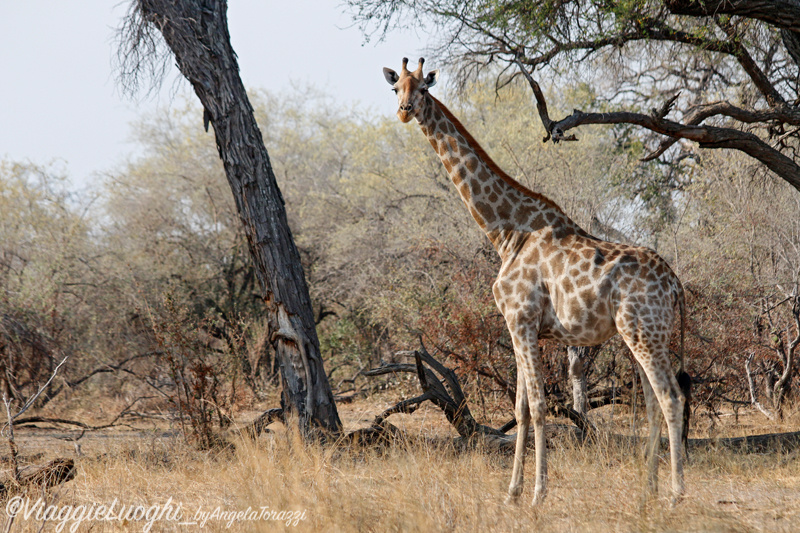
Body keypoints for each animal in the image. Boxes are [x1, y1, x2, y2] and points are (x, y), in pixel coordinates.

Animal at [384, 58, 692, 502]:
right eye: (396, 89)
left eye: (424, 88)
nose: (405, 111)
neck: (507, 233)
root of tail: (675, 285)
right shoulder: (517, 326)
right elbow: (521, 408)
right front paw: (512, 492)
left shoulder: (523, 319)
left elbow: (541, 406)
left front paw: (537, 493)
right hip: (645, 334)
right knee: (653, 401)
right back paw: (647, 492)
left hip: (644, 332)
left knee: (671, 398)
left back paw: (675, 494)